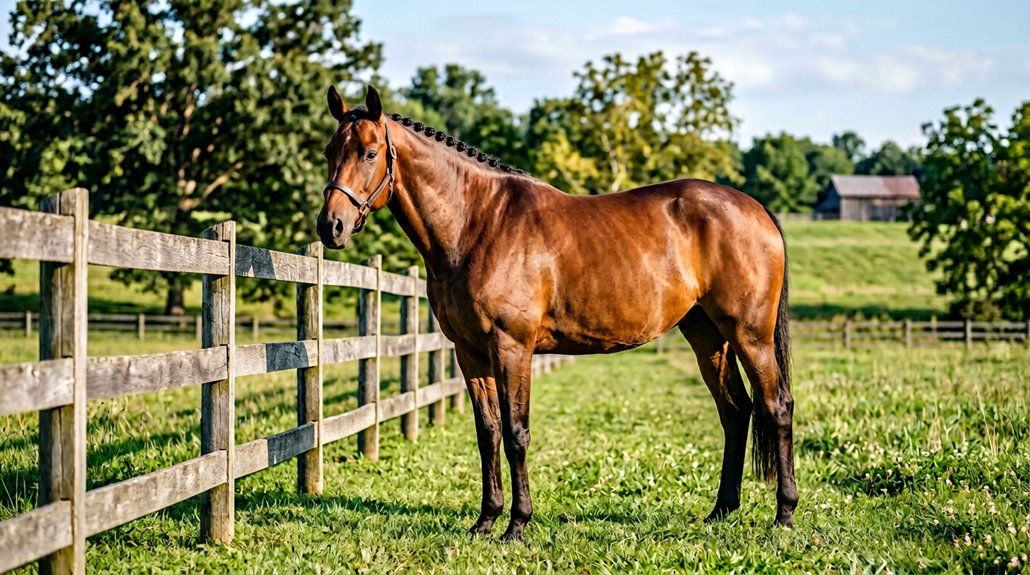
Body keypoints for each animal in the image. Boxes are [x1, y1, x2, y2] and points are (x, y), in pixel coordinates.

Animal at [316, 85, 797, 540]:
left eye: (370, 153)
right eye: (328, 152)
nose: (330, 226)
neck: (477, 222)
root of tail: (757, 210)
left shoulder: (511, 348)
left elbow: (516, 434)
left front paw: (517, 524)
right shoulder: (470, 352)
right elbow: (488, 433)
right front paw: (485, 520)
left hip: (750, 336)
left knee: (776, 406)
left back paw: (784, 515)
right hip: (707, 335)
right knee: (735, 411)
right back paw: (721, 511)